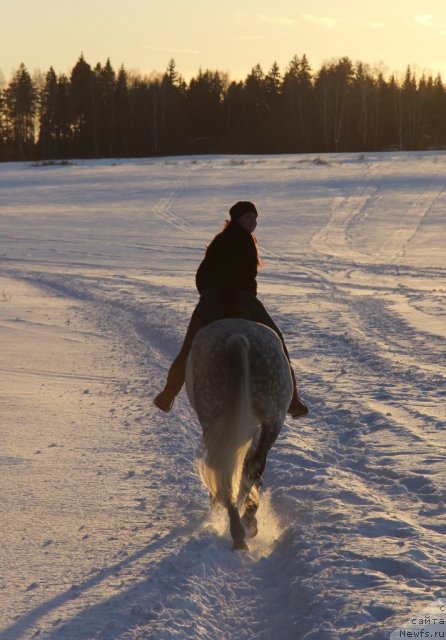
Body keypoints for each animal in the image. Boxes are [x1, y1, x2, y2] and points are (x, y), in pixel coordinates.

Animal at [185, 318, 292, 552]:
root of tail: (238, 339)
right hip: (272, 419)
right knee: (250, 467)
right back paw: (243, 525)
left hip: (219, 416)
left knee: (232, 469)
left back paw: (239, 528)